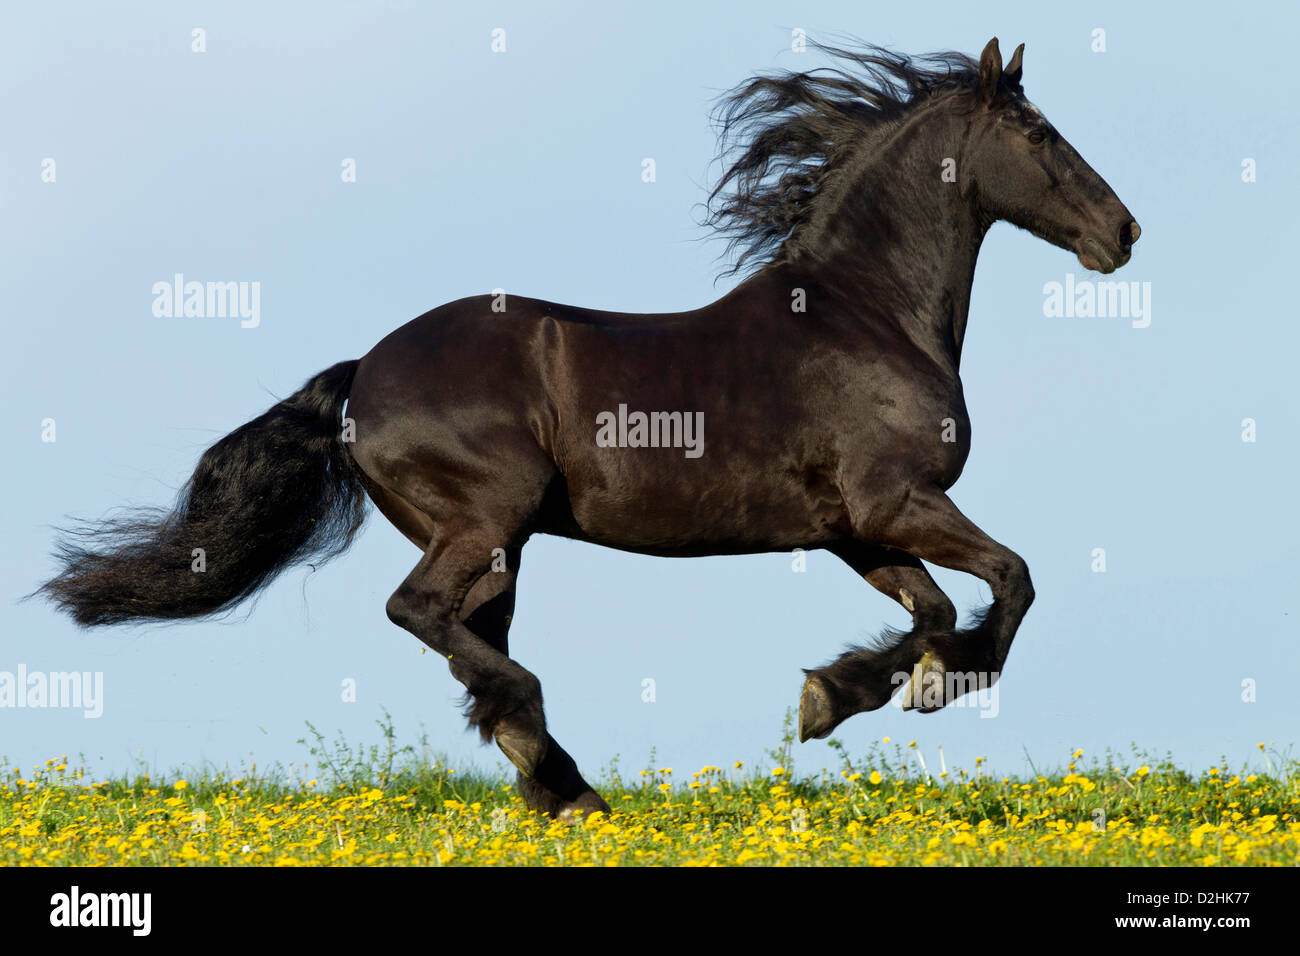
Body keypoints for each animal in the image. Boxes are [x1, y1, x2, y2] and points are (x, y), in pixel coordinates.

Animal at [39, 38, 1140, 821]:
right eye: (1041, 135)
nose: (1123, 233)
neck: (863, 312)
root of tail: (362, 376)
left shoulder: (854, 529)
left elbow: (933, 610)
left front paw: (837, 692)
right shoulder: (898, 501)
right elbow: (1010, 583)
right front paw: (927, 686)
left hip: (500, 545)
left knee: (465, 641)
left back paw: (559, 785)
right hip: (488, 516)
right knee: (422, 614)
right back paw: (566, 778)